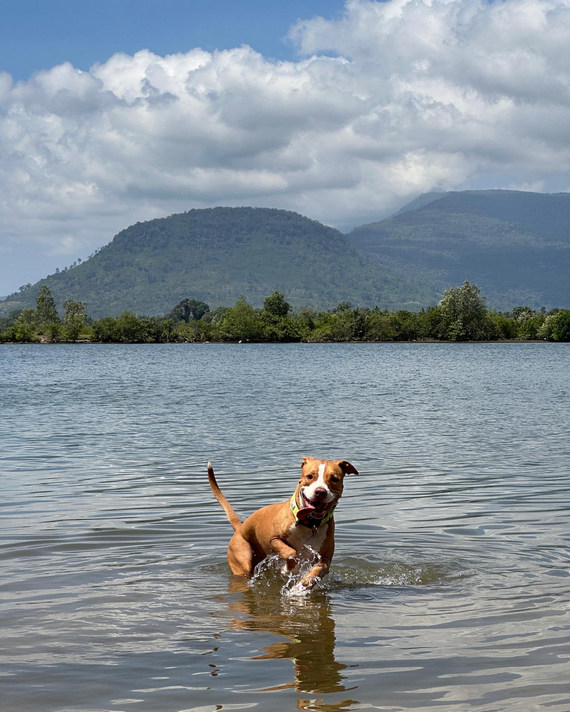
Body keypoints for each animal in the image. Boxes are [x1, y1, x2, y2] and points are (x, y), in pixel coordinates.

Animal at [205, 456, 356, 588]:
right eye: (310, 476)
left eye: (334, 479)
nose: (320, 491)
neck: (310, 524)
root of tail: (240, 528)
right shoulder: (274, 539)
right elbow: (290, 552)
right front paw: (288, 570)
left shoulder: (325, 560)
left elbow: (315, 573)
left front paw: (300, 587)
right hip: (241, 558)